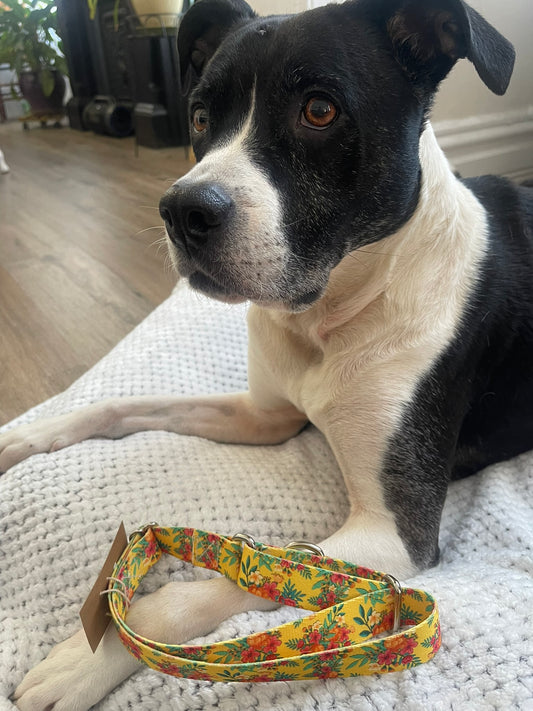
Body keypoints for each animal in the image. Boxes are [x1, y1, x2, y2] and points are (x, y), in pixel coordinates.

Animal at [5, 0, 532, 708]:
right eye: (201, 117)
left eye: (320, 110)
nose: (182, 211)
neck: (331, 314)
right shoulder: (265, 416)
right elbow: (121, 405)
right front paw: (25, 437)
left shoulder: (395, 531)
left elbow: (232, 581)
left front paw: (91, 656)